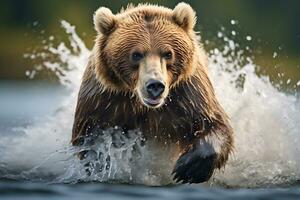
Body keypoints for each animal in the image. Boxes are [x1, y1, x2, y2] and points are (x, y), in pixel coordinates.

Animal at [71, 2, 233, 184]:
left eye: (168, 53)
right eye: (136, 54)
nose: (155, 85)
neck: (142, 105)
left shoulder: (188, 95)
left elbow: (213, 123)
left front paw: (188, 169)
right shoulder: (104, 100)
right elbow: (90, 139)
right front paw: (105, 164)